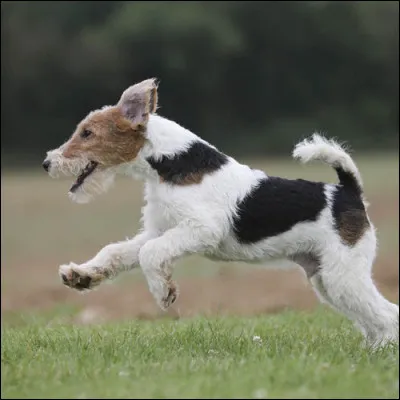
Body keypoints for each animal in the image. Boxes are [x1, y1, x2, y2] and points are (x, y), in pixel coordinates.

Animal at [42, 77, 398, 346]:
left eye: (87, 133)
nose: (47, 162)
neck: (170, 163)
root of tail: (348, 191)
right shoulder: (158, 230)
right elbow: (118, 252)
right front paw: (80, 275)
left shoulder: (200, 229)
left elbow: (150, 254)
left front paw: (164, 292)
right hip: (326, 278)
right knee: (373, 318)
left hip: (344, 276)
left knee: (387, 315)